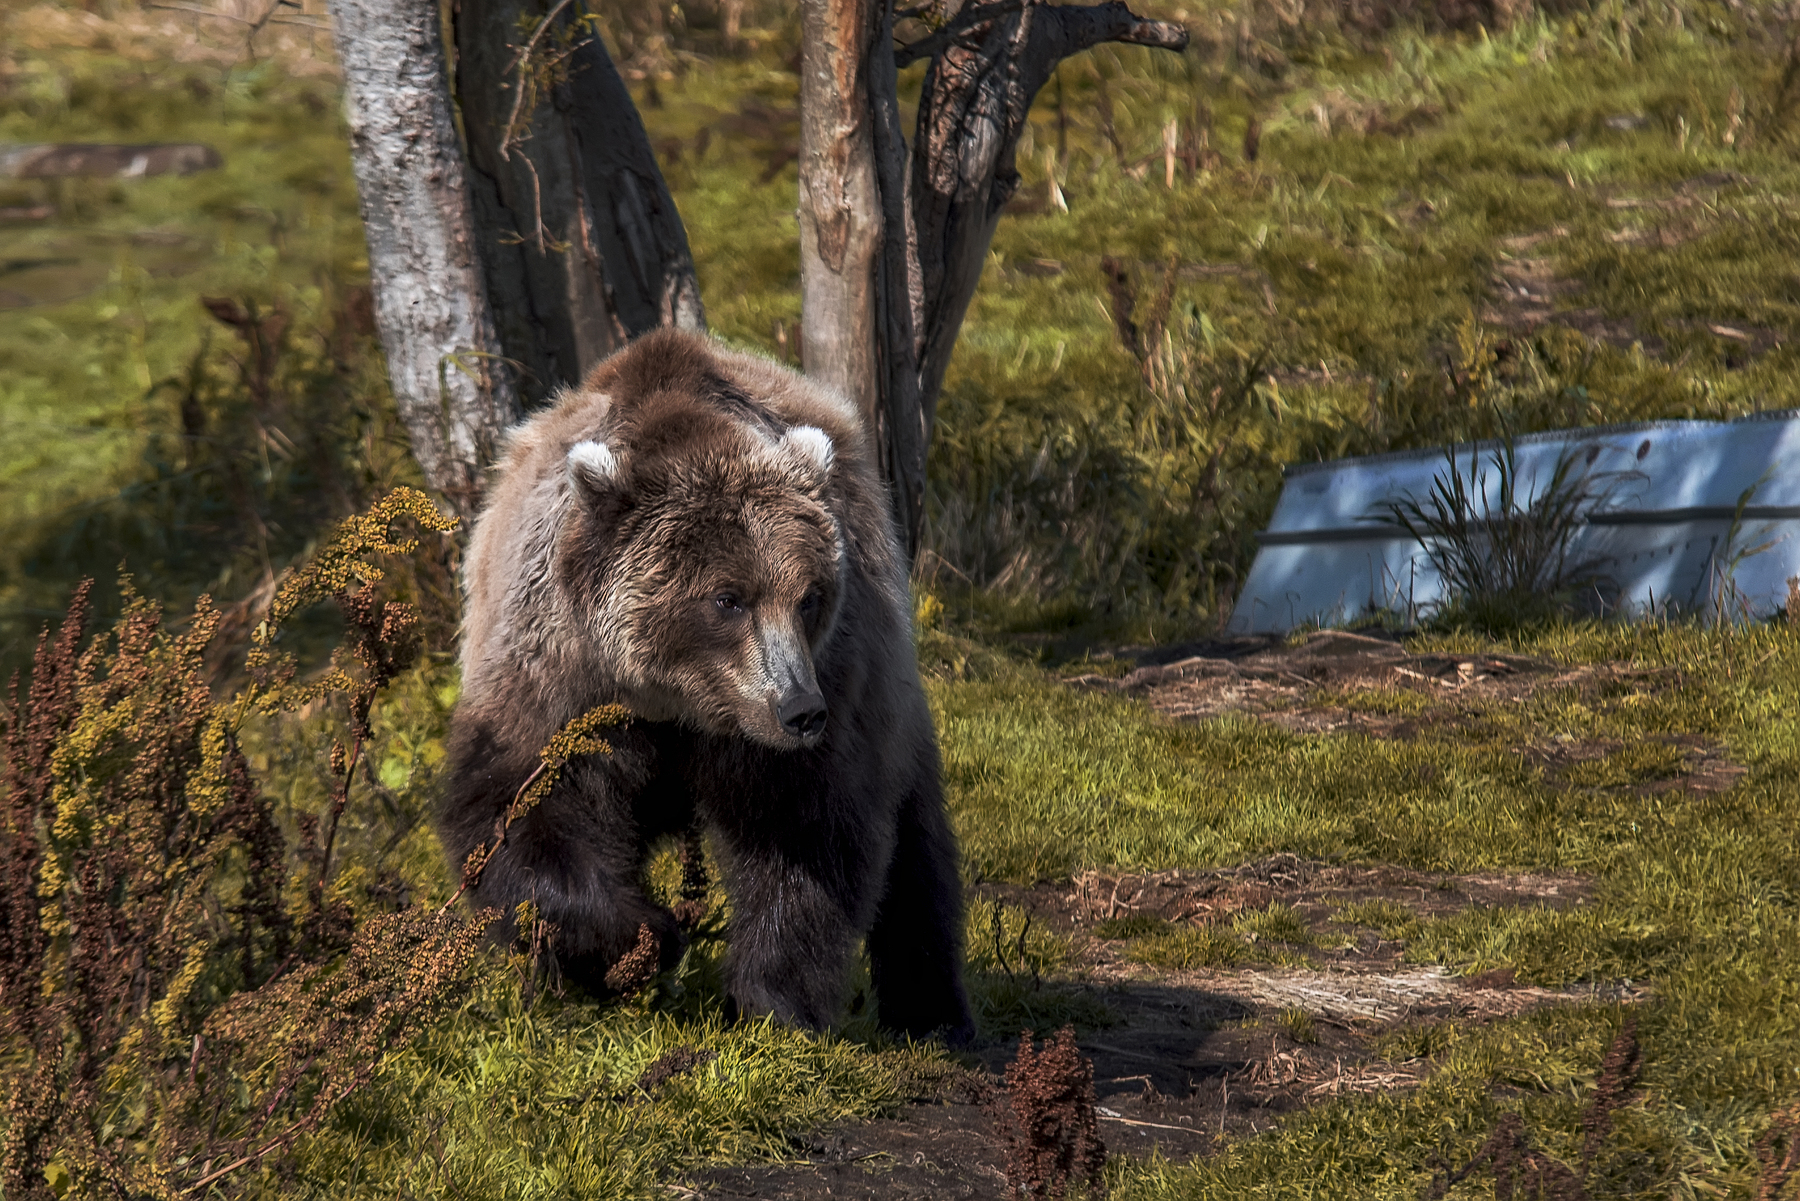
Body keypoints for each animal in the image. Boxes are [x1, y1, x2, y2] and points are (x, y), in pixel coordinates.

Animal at [444, 325, 979, 1044]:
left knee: (918, 852)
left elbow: (806, 833)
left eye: (809, 596)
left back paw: (933, 1014)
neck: (677, 700)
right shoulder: (560, 677)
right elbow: (523, 807)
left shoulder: (824, 682)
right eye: (728, 598)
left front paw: (770, 1004)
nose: (800, 710)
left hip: (890, 692)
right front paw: (644, 940)